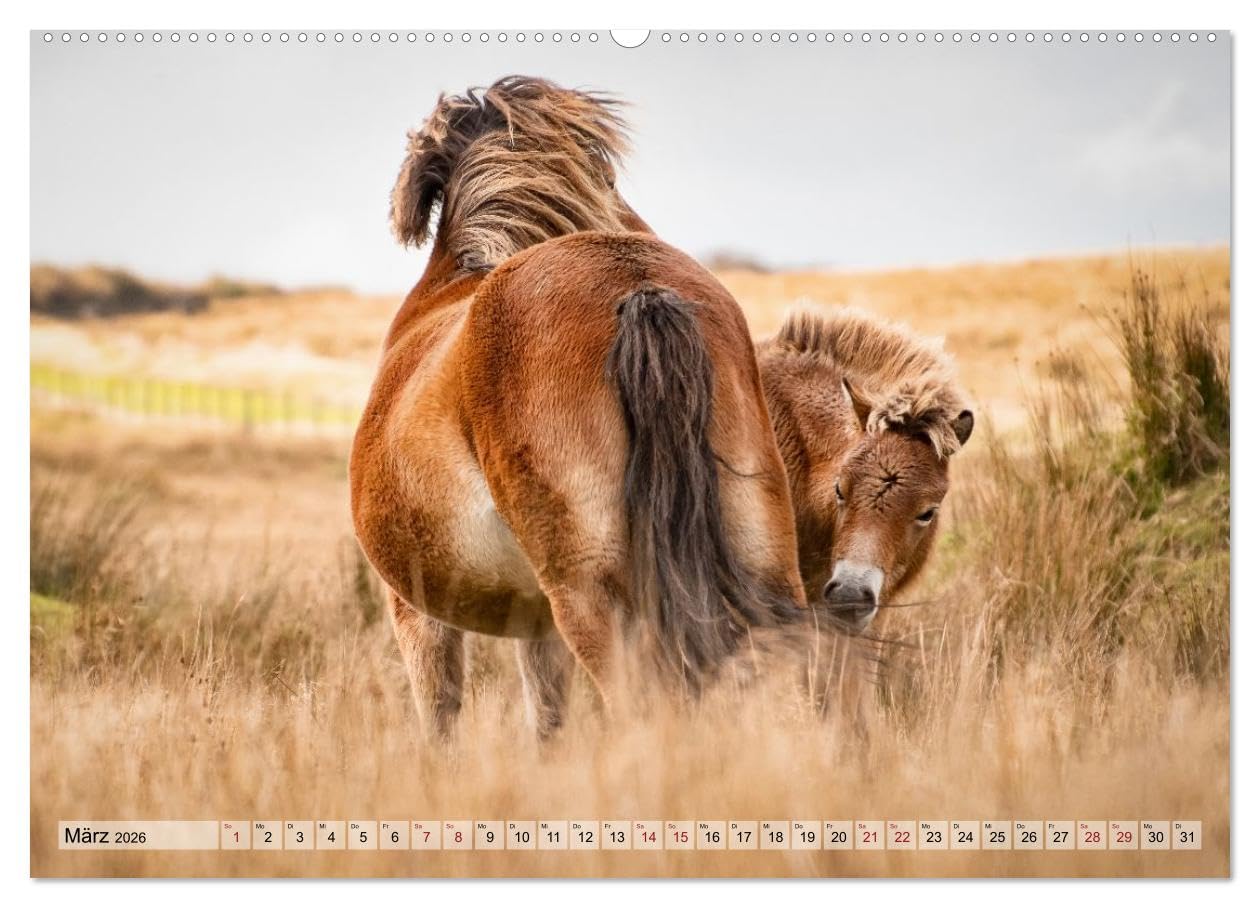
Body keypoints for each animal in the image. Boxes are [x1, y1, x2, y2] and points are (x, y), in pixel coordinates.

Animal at [349, 76, 817, 739]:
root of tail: (639, 287)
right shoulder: (533, 620)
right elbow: (548, 723)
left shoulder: (415, 610)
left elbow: (442, 720)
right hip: (768, 569)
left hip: (594, 599)